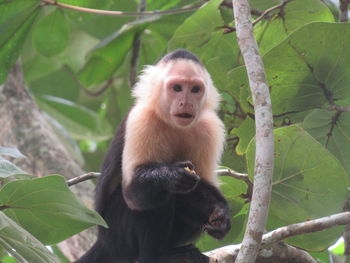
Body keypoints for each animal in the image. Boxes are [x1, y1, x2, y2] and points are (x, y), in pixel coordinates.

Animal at [75, 49, 231, 263]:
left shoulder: (210, 128)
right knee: (159, 199)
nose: (186, 102)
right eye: (177, 88)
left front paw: (221, 214)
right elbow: (133, 194)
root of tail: (104, 242)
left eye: (195, 89)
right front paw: (170, 176)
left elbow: (203, 183)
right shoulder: (142, 119)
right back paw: (156, 254)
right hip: (118, 235)